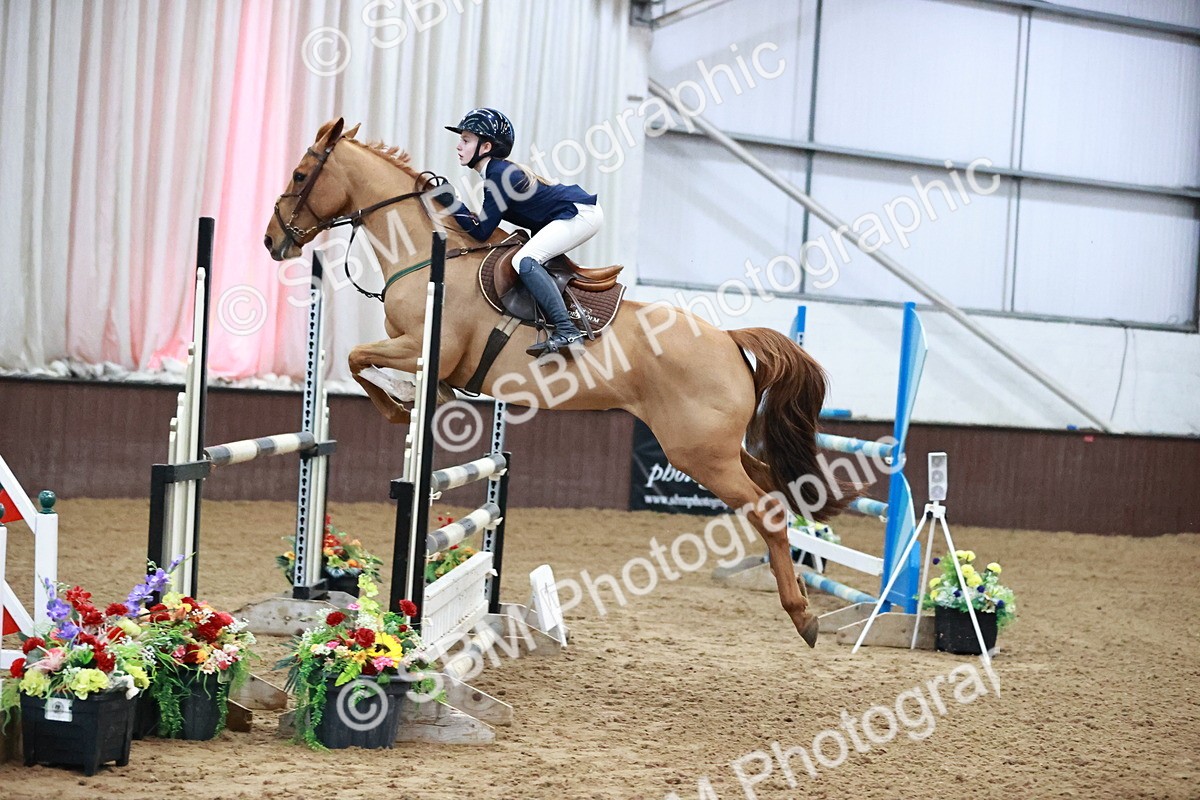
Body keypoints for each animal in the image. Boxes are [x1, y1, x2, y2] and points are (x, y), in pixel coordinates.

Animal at [263, 118, 849, 647]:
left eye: (299, 174)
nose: (272, 242)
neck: (425, 255)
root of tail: (729, 340)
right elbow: (364, 362)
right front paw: (411, 400)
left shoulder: (424, 347)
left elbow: (358, 358)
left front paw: (402, 406)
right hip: (721, 449)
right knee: (775, 488)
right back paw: (799, 590)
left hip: (699, 454)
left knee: (767, 510)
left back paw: (803, 615)